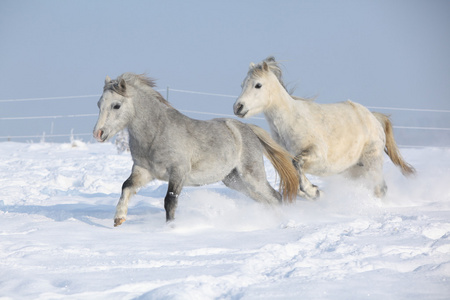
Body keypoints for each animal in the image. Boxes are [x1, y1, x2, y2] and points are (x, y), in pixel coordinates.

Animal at [93, 73, 298, 225]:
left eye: (116, 105)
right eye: (99, 104)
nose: (98, 133)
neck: (156, 132)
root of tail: (246, 128)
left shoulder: (178, 172)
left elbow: (170, 202)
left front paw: (170, 228)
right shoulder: (143, 171)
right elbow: (126, 186)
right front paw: (118, 218)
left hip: (252, 175)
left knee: (275, 196)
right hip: (234, 180)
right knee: (265, 200)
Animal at [234, 56, 416, 199]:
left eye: (258, 85)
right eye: (242, 84)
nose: (238, 107)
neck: (290, 121)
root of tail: (373, 118)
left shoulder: (316, 154)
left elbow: (297, 163)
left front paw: (314, 191)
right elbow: (295, 181)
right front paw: (315, 192)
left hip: (373, 161)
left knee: (380, 188)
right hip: (354, 169)